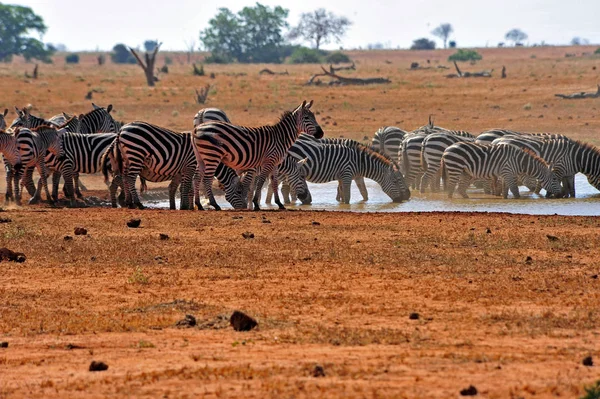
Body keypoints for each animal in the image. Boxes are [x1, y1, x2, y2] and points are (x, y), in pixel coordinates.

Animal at [192, 100, 324, 211]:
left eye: (314, 117)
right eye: (306, 118)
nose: (321, 133)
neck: (281, 138)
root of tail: (197, 129)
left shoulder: (274, 163)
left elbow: (273, 182)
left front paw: (279, 204)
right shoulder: (266, 162)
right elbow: (258, 183)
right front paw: (254, 204)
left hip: (201, 157)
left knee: (197, 177)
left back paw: (199, 205)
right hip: (212, 155)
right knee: (207, 179)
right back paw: (215, 204)